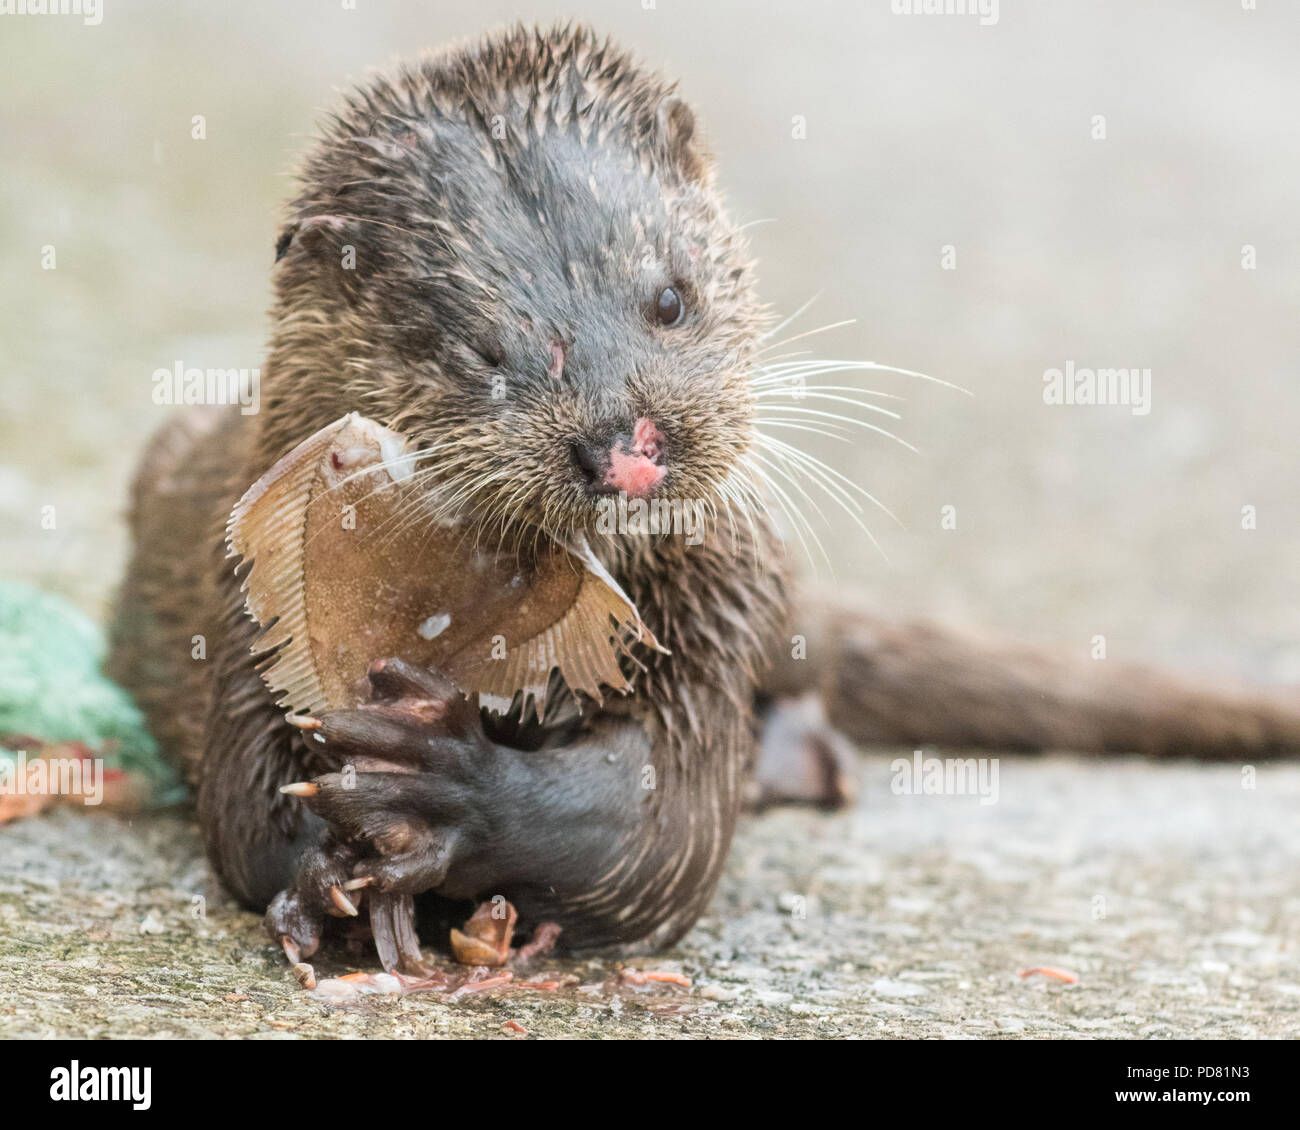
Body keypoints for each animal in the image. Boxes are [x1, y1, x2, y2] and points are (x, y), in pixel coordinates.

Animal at [106, 22, 1300, 967]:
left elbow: (656, 825)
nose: (626, 444)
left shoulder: (711, 612)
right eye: (483, 352)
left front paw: (444, 790)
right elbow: (244, 809)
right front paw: (328, 860)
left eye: (668, 298)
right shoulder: (246, 601)